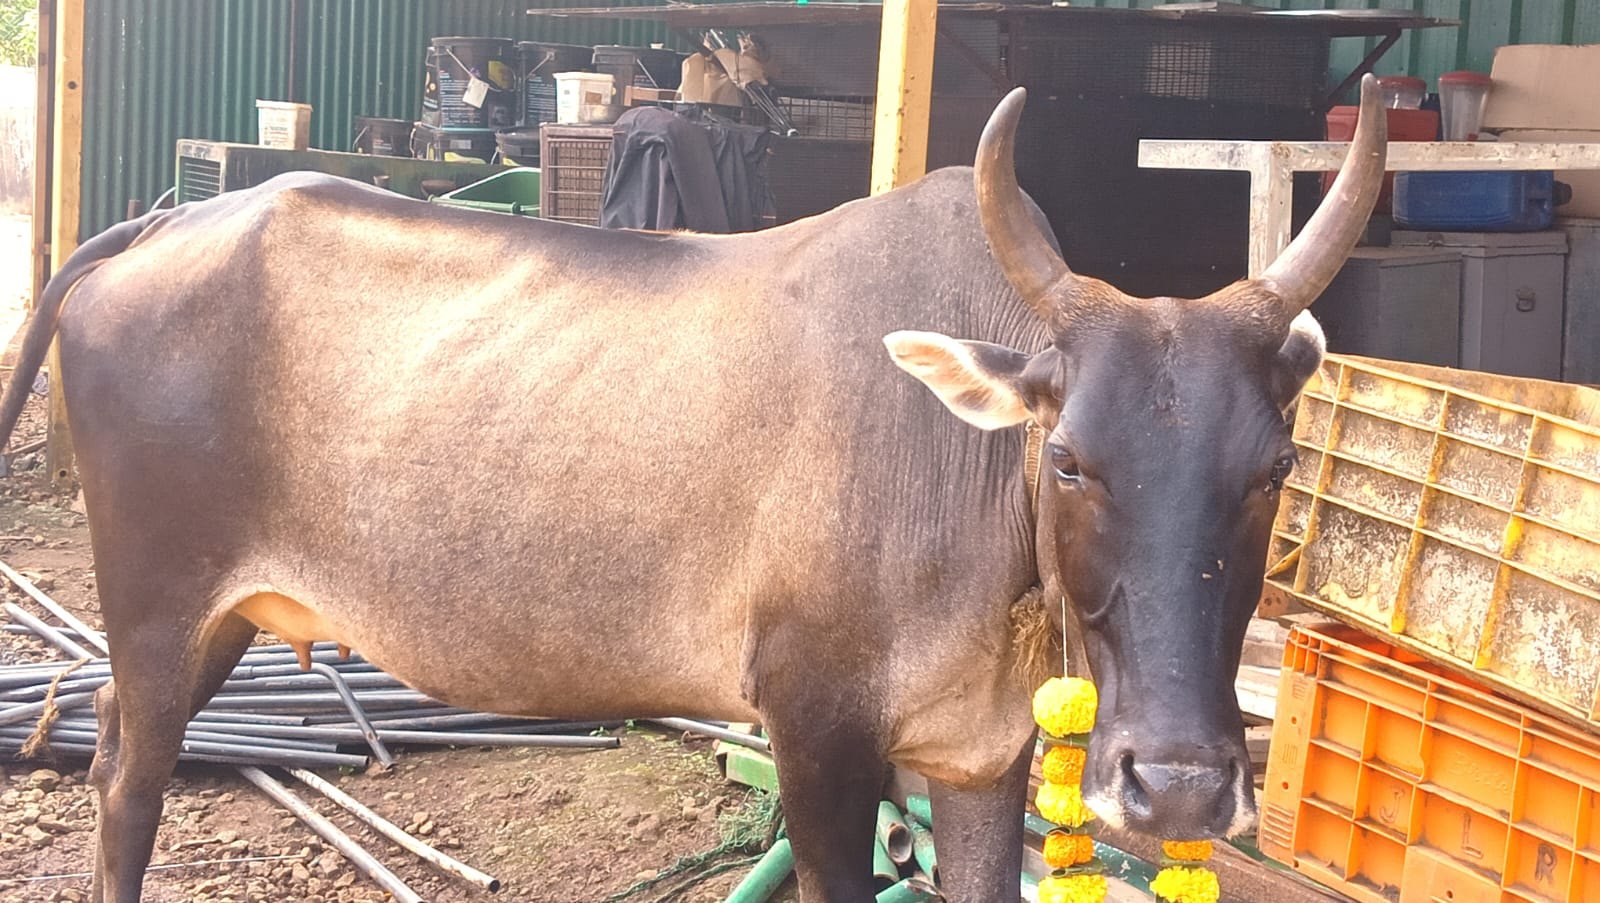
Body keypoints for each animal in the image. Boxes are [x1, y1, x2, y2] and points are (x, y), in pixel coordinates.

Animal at [0, 76, 1385, 902]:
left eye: (1274, 466)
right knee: (126, 780)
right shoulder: (816, 734)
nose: (1183, 782)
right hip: (159, 604)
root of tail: (163, 223)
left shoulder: (980, 757)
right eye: (1067, 458)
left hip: (206, 622)